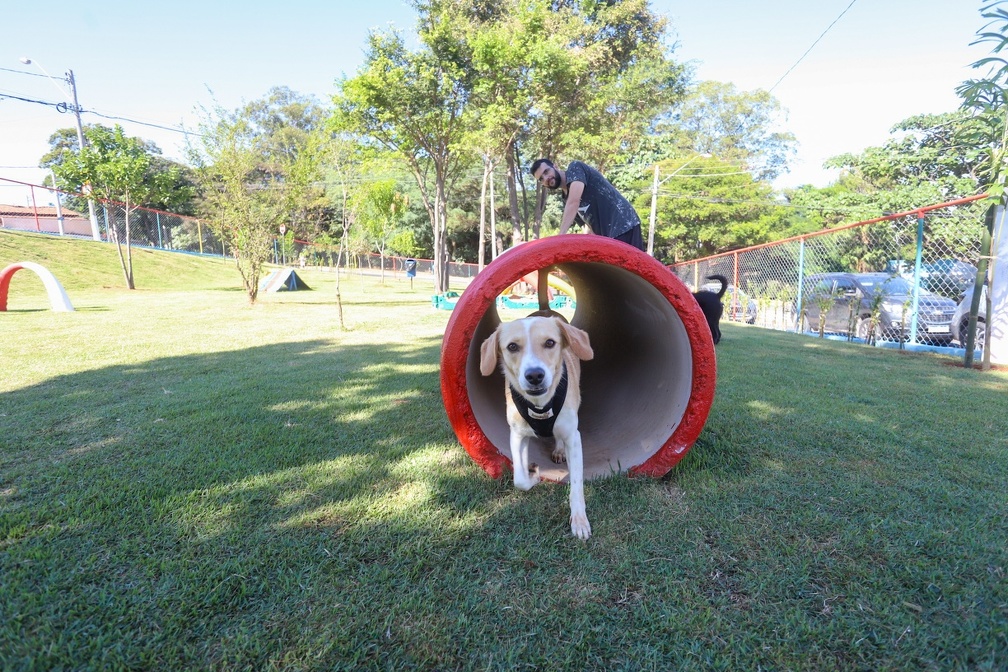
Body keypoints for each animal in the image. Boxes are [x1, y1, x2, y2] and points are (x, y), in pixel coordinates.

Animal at [477, 316, 592, 540]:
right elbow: (520, 480)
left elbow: (576, 484)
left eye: (550, 342)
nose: (535, 375)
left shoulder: (573, 437)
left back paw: (558, 450)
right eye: (512, 346)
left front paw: (579, 521)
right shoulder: (517, 435)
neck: (540, 405)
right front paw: (534, 476)